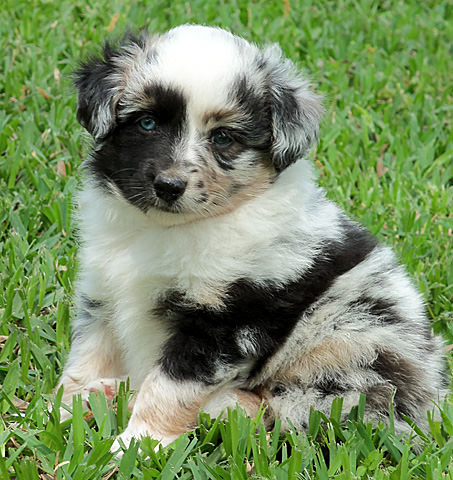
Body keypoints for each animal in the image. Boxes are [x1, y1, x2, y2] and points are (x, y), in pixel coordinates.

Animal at [58, 23, 446, 450]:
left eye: (223, 138)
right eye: (146, 123)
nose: (169, 185)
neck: (168, 228)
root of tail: (431, 403)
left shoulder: (226, 320)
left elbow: (169, 389)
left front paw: (136, 444)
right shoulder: (103, 294)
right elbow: (86, 357)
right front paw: (65, 408)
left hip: (355, 338)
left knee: (287, 410)